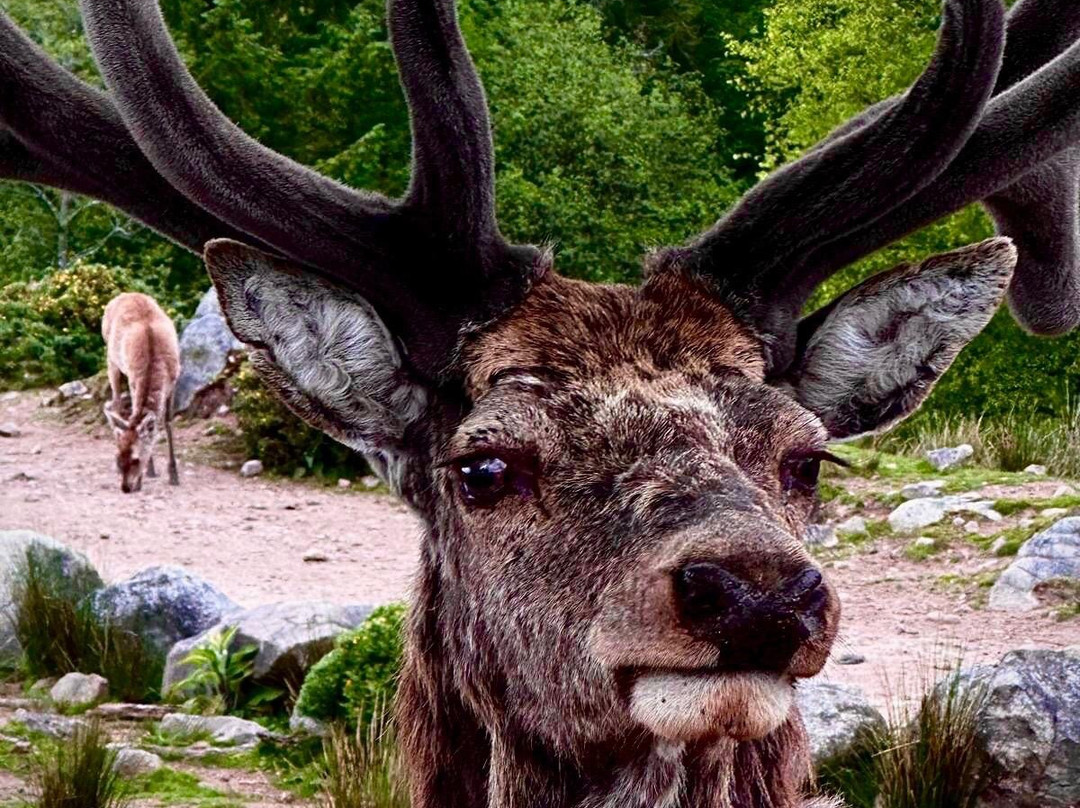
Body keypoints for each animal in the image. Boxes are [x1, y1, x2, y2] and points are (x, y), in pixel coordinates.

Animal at [101, 292, 181, 493]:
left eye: (136, 459)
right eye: (118, 458)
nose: (126, 487)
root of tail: (124, 294)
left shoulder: (174, 381)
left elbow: (167, 422)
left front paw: (173, 475)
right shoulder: (133, 380)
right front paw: (149, 471)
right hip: (111, 359)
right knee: (116, 402)